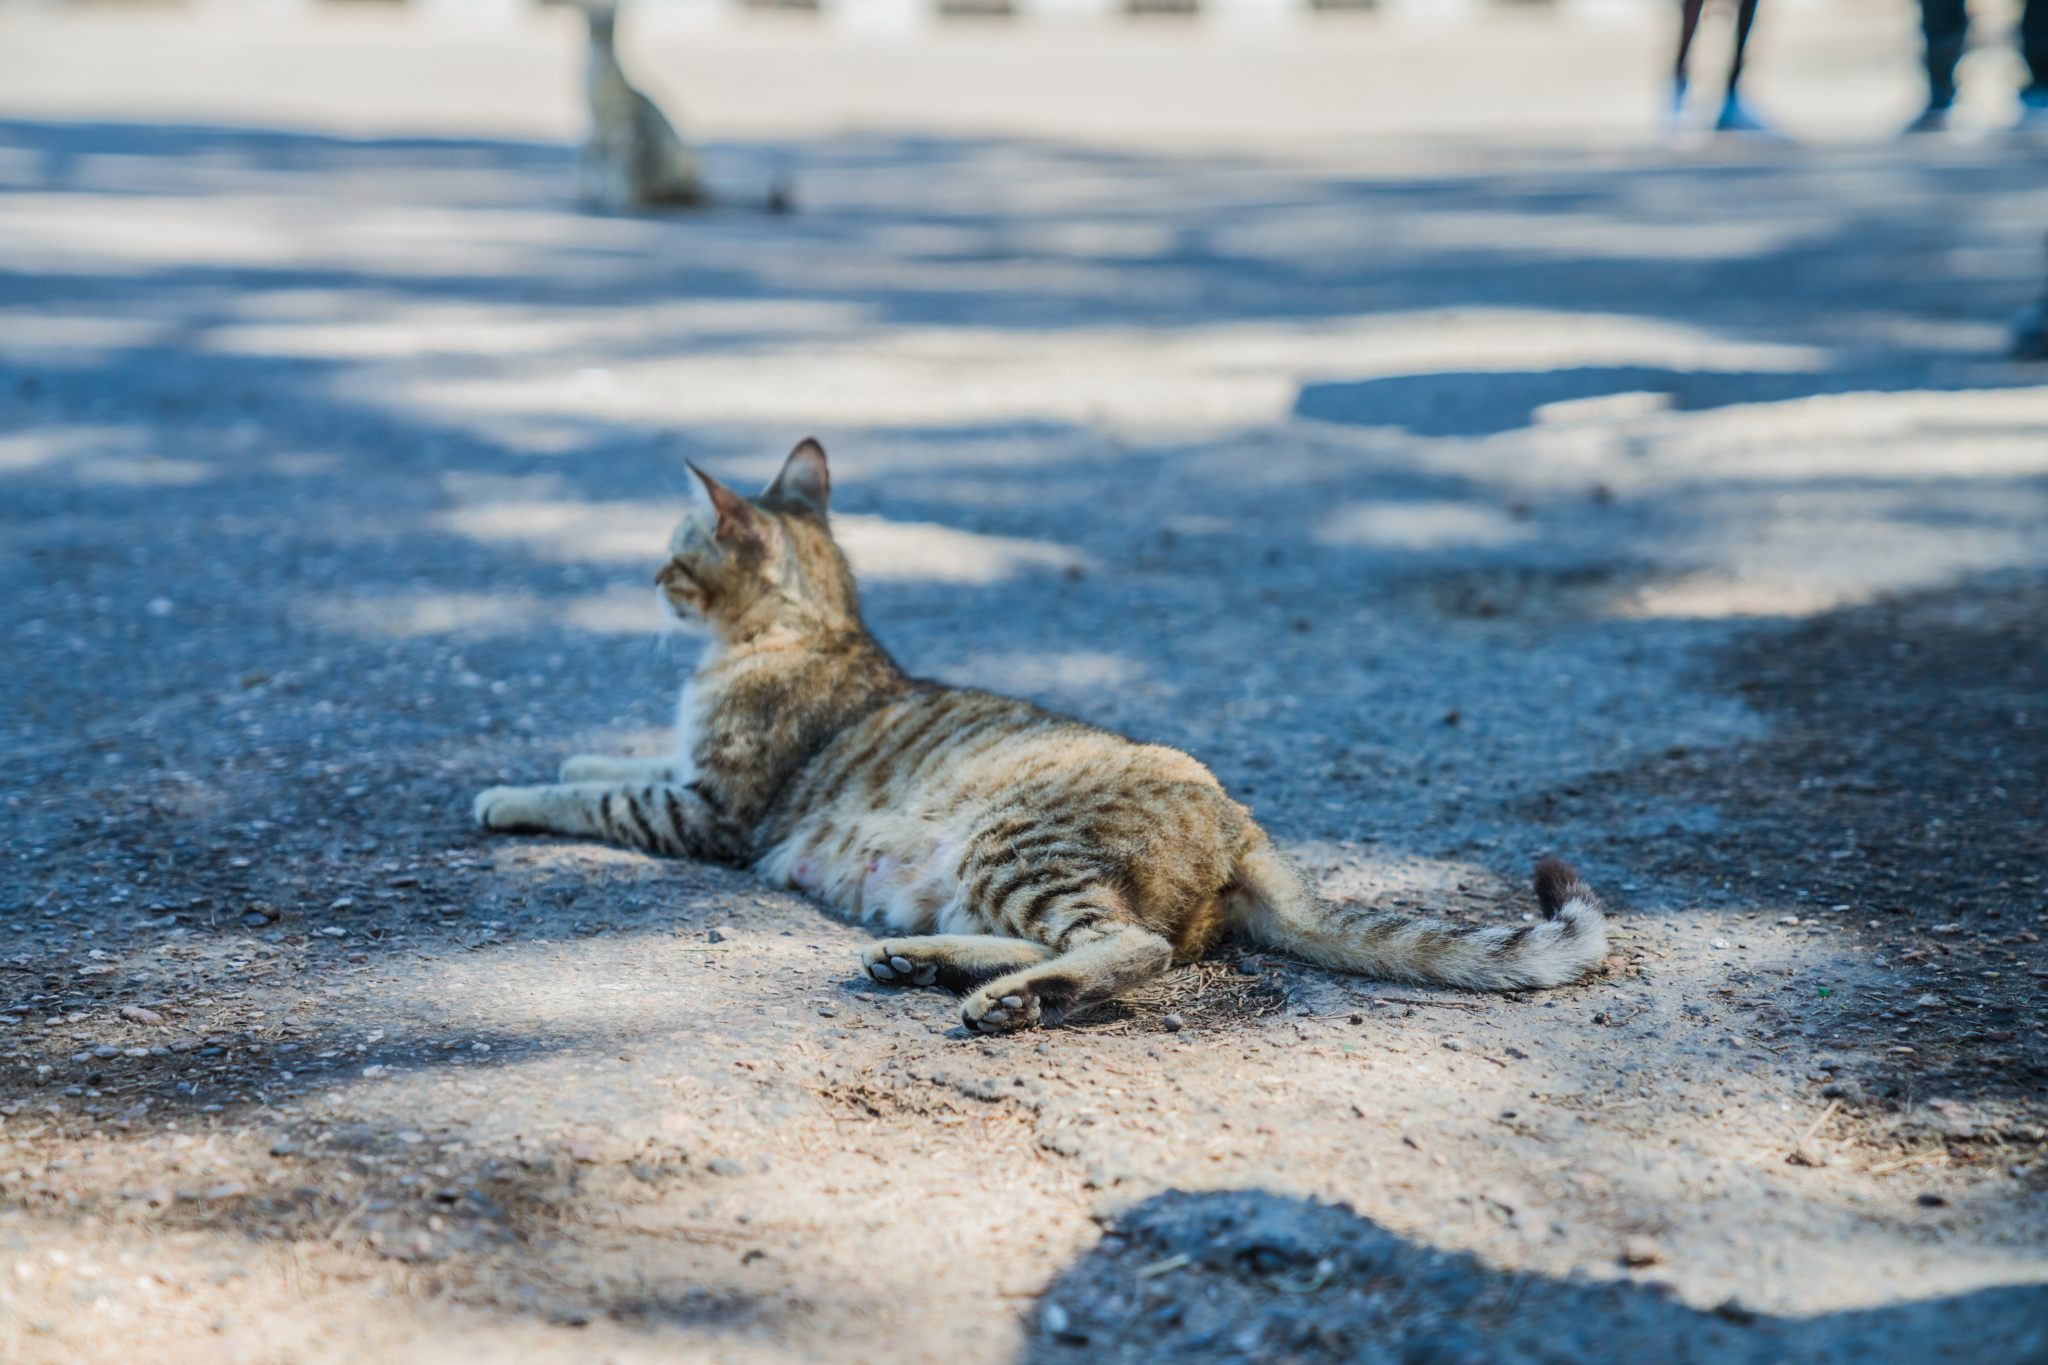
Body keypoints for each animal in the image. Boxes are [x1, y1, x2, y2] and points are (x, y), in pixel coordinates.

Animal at [471, 444, 1605, 1031]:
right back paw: (927, 962)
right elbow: (614, 756)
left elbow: (593, 793)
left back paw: (1009, 999)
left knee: (1130, 946)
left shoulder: (711, 808)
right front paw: (568, 752)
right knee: (1080, 934)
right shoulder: (686, 773)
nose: (645, 580)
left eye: (673, 557)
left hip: (1015, 841)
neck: (807, 624)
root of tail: (1243, 823)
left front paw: (505, 790)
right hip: (986, 873)